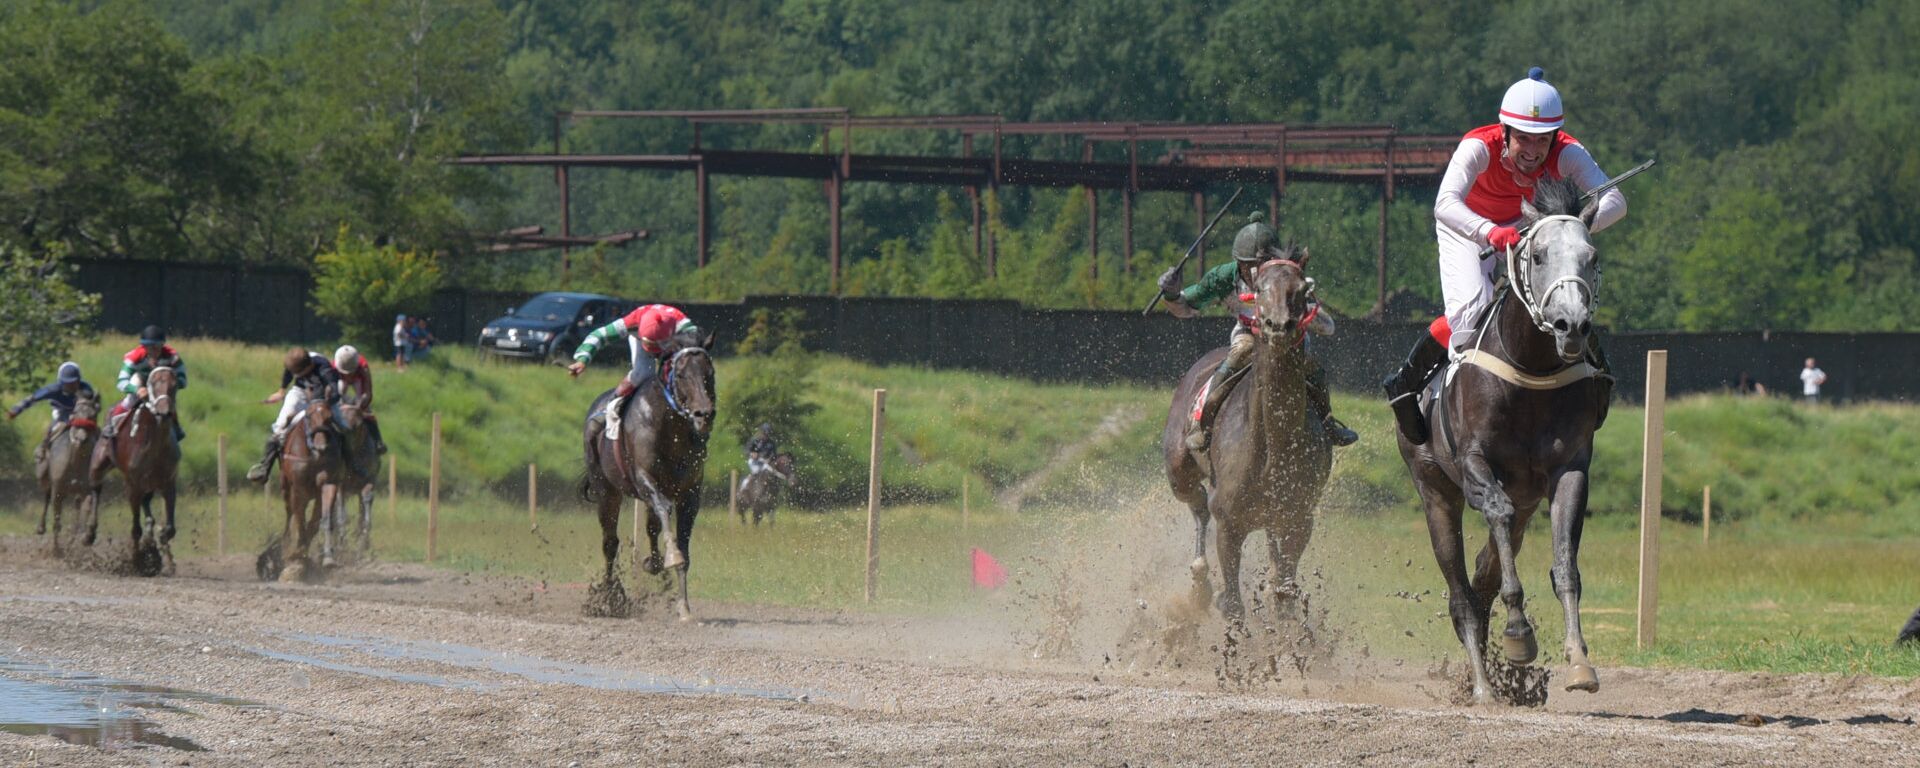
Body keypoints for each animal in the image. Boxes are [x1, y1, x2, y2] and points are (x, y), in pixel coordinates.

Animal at [35, 393, 101, 556]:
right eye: (75, 412)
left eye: (93, 415)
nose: (80, 438)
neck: (75, 463)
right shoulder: (58, 489)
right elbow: (56, 520)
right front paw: (56, 550)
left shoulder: (87, 489)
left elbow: (88, 508)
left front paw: (88, 537)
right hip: (46, 478)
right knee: (46, 497)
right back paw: (41, 528)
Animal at [88, 366, 183, 576]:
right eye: (153, 383)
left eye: (174, 385)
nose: (165, 411)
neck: (155, 445)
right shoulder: (132, 484)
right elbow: (135, 529)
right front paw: (136, 560)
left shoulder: (169, 483)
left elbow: (169, 528)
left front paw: (157, 549)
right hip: (99, 462)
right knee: (96, 488)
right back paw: (89, 533)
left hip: (149, 484)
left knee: (147, 507)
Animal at [576, 332, 721, 622]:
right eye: (681, 375)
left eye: (709, 373)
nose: (704, 414)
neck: (671, 427)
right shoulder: (644, 480)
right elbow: (664, 514)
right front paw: (671, 556)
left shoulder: (690, 493)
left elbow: (680, 541)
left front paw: (684, 606)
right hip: (606, 491)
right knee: (610, 543)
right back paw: (609, 597)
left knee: (651, 527)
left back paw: (651, 565)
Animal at [1152, 249, 1336, 622]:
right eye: (1260, 289)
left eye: (1301, 290)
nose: (1278, 325)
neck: (1273, 446)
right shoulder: (1229, 523)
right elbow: (1234, 604)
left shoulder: (1298, 520)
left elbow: (1285, 591)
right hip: (1179, 471)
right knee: (1198, 504)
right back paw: (1199, 580)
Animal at [1390, 176, 1612, 706]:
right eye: (1539, 254)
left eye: (1591, 255)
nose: (1571, 325)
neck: (1531, 369)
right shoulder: (1475, 464)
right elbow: (1497, 522)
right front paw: (1518, 634)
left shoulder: (1570, 469)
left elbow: (1565, 566)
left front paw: (1580, 664)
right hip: (1434, 492)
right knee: (1461, 592)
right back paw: (1483, 687)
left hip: (1527, 500)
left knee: (1482, 575)